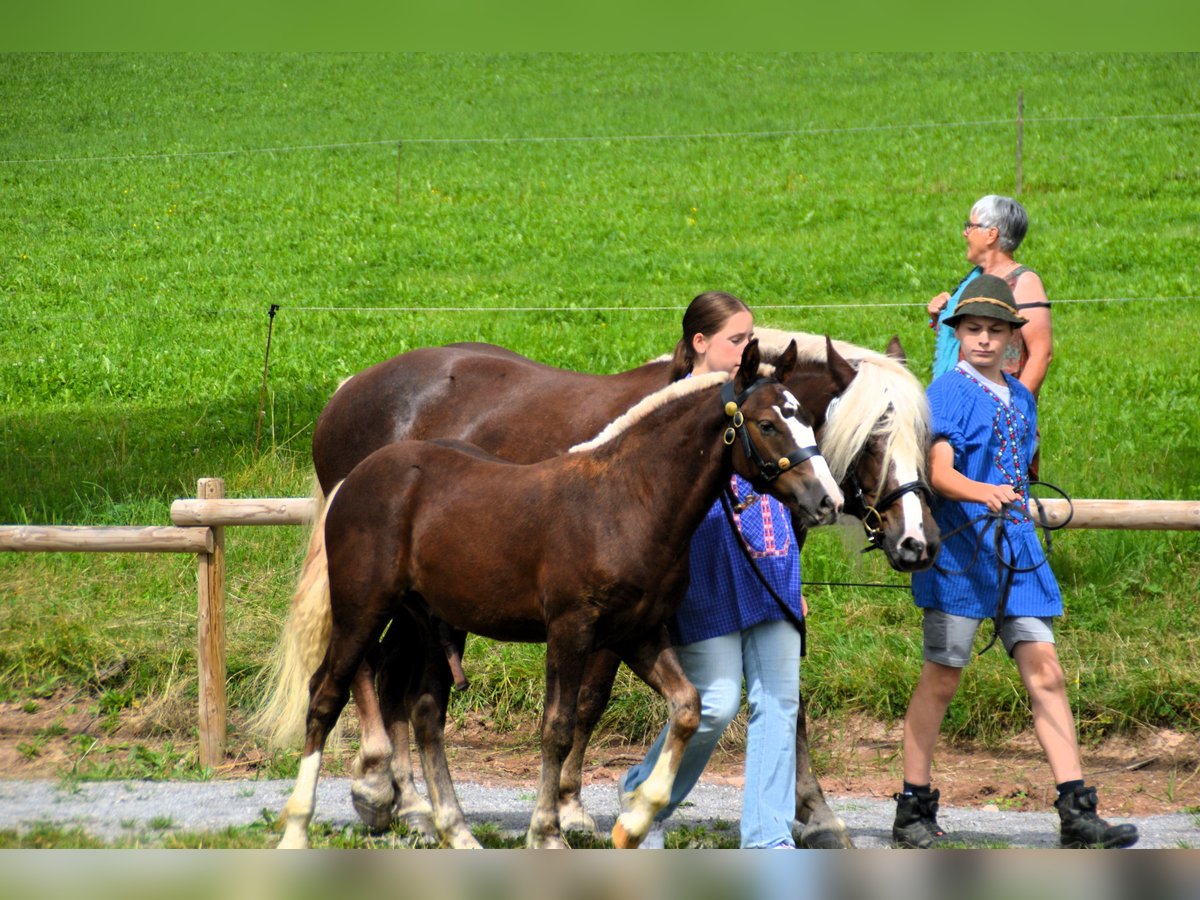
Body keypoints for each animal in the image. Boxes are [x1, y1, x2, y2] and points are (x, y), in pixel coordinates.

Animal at [258, 328, 936, 849]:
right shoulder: (573, 629)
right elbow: (562, 722)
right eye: (769, 423)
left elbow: (689, 706)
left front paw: (632, 820)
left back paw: (439, 821)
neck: (626, 497)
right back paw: (323, 817)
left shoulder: (641, 632)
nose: (915, 543)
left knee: (419, 705)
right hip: (363, 606)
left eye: (928, 440)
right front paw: (553, 828)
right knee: (332, 690)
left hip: (430, 618)